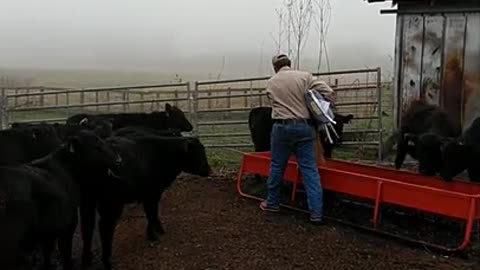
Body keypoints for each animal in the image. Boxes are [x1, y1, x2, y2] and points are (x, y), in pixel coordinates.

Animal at [0, 130, 120, 268]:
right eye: (96, 148)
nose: (118, 159)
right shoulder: (67, 227)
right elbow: (66, 254)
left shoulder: (48, 232)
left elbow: (48, 253)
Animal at [79, 134, 210, 268]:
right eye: (197, 152)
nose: (208, 170)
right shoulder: (152, 194)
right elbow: (152, 212)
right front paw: (154, 234)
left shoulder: (150, 195)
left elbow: (152, 213)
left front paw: (158, 230)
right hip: (111, 203)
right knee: (105, 227)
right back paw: (107, 260)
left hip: (87, 201)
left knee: (87, 227)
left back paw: (86, 260)